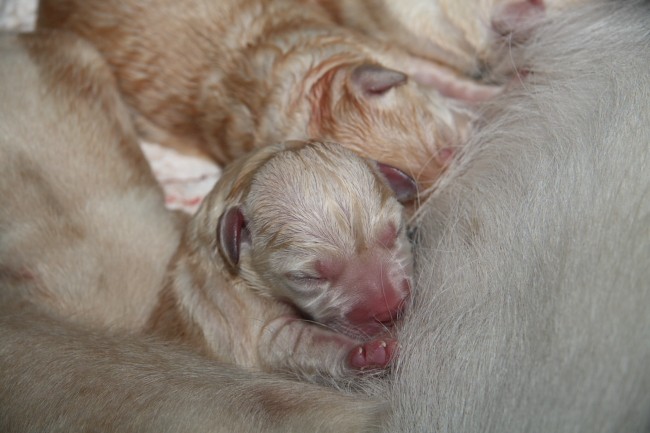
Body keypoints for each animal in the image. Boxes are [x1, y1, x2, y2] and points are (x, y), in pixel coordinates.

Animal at [150, 141, 416, 378]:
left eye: (395, 232)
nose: (390, 311)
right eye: (307, 277)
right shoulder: (251, 325)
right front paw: (364, 353)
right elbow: (301, 342)